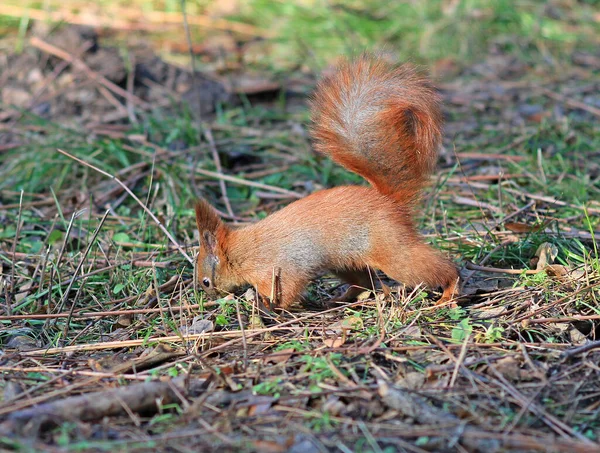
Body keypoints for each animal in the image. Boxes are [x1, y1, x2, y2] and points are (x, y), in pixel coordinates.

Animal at [195, 53, 458, 308]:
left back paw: (449, 291)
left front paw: (270, 305)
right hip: (345, 262)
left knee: (435, 268)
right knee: (364, 282)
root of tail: (388, 200)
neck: (242, 253)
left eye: (206, 281)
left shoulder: (276, 269)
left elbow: (287, 290)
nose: (207, 295)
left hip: (391, 250)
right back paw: (341, 298)